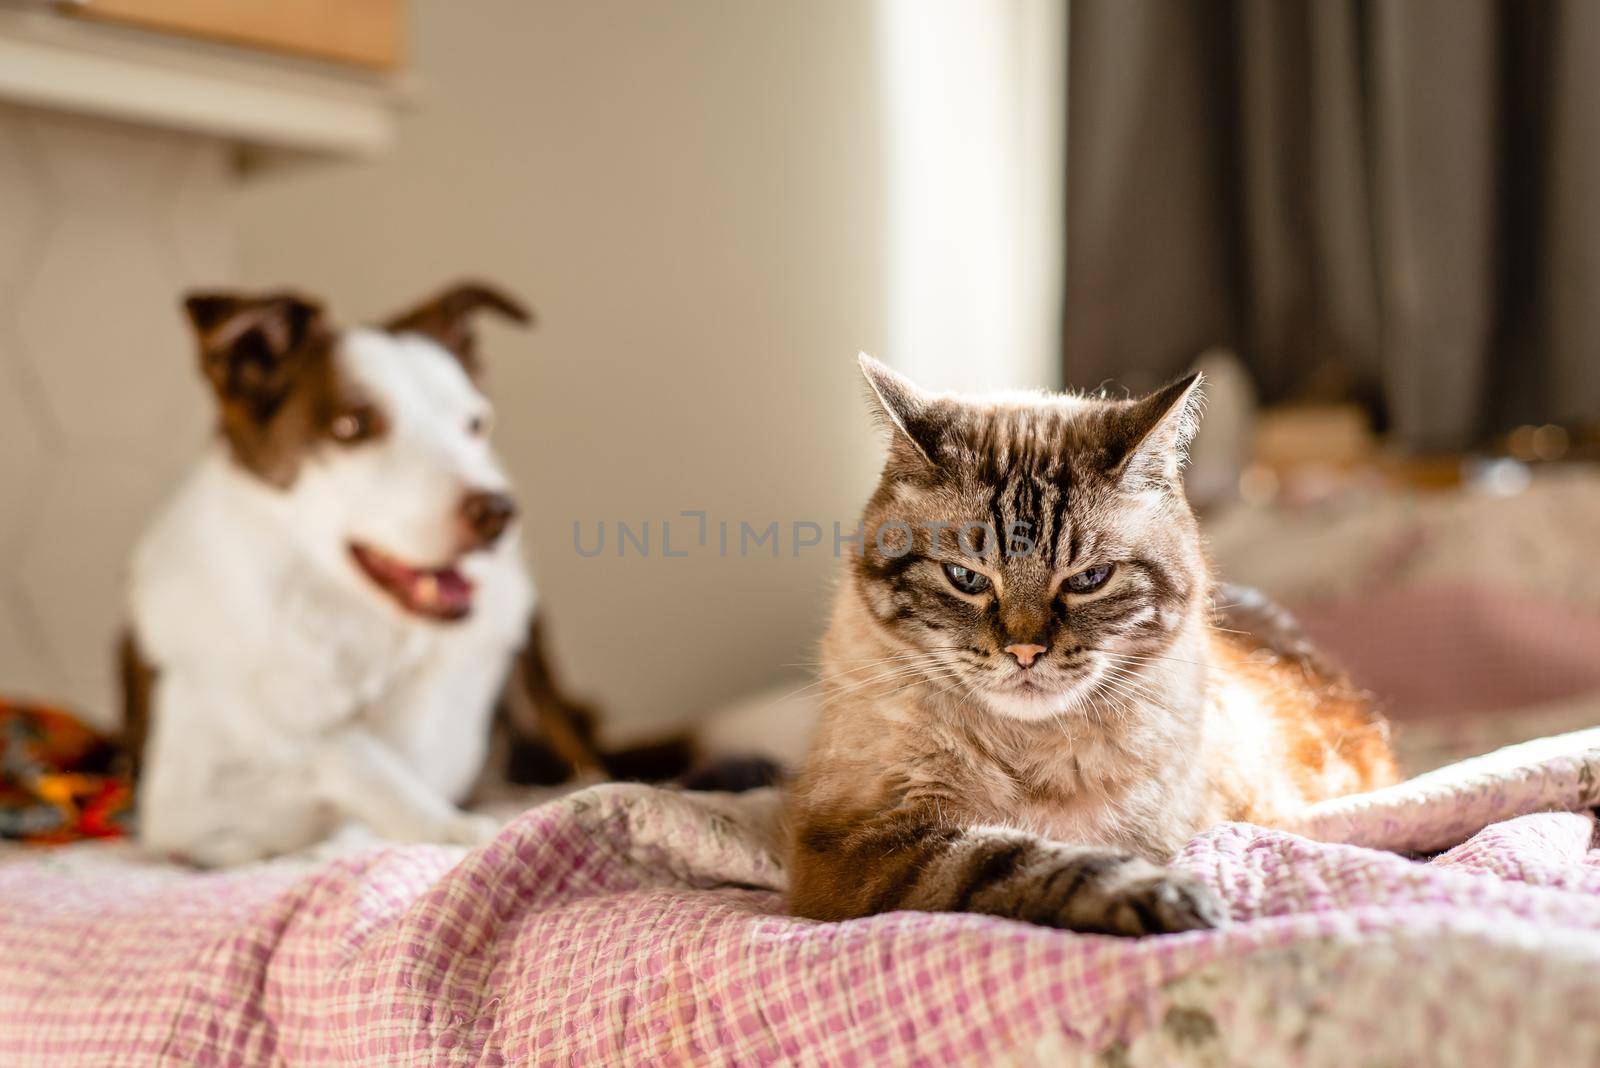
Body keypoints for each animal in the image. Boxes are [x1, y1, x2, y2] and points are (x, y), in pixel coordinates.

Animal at [124, 282, 608, 869]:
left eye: (476, 423)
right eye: (352, 426)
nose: (499, 512)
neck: (357, 625)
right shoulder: (179, 807)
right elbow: (336, 747)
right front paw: (443, 824)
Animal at [784, 358, 1388, 933]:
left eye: (1089, 580)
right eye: (966, 577)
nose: (1025, 652)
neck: (1028, 748)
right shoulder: (860, 845)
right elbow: (1028, 859)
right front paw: (1163, 896)